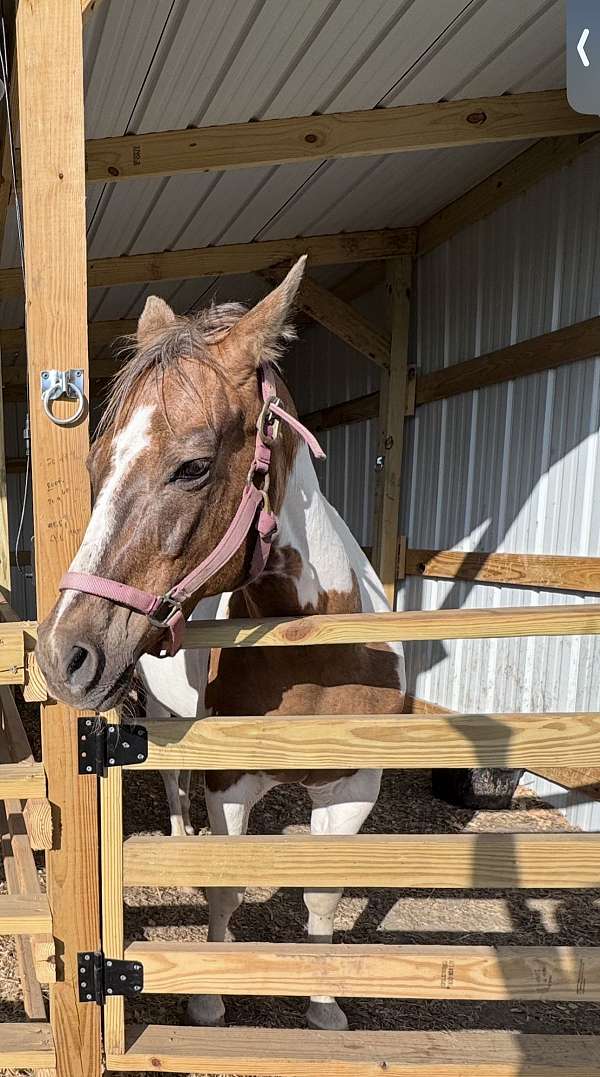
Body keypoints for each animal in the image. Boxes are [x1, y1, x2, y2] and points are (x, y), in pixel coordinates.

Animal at [36, 256, 406, 1032]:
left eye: (193, 466)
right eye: (98, 461)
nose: (62, 655)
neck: (316, 655)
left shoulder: (355, 787)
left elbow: (322, 896)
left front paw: (323, 1005)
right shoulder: (228, 778)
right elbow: (226, 887)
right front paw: (208, 999)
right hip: (163, 717)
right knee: (173, 785)